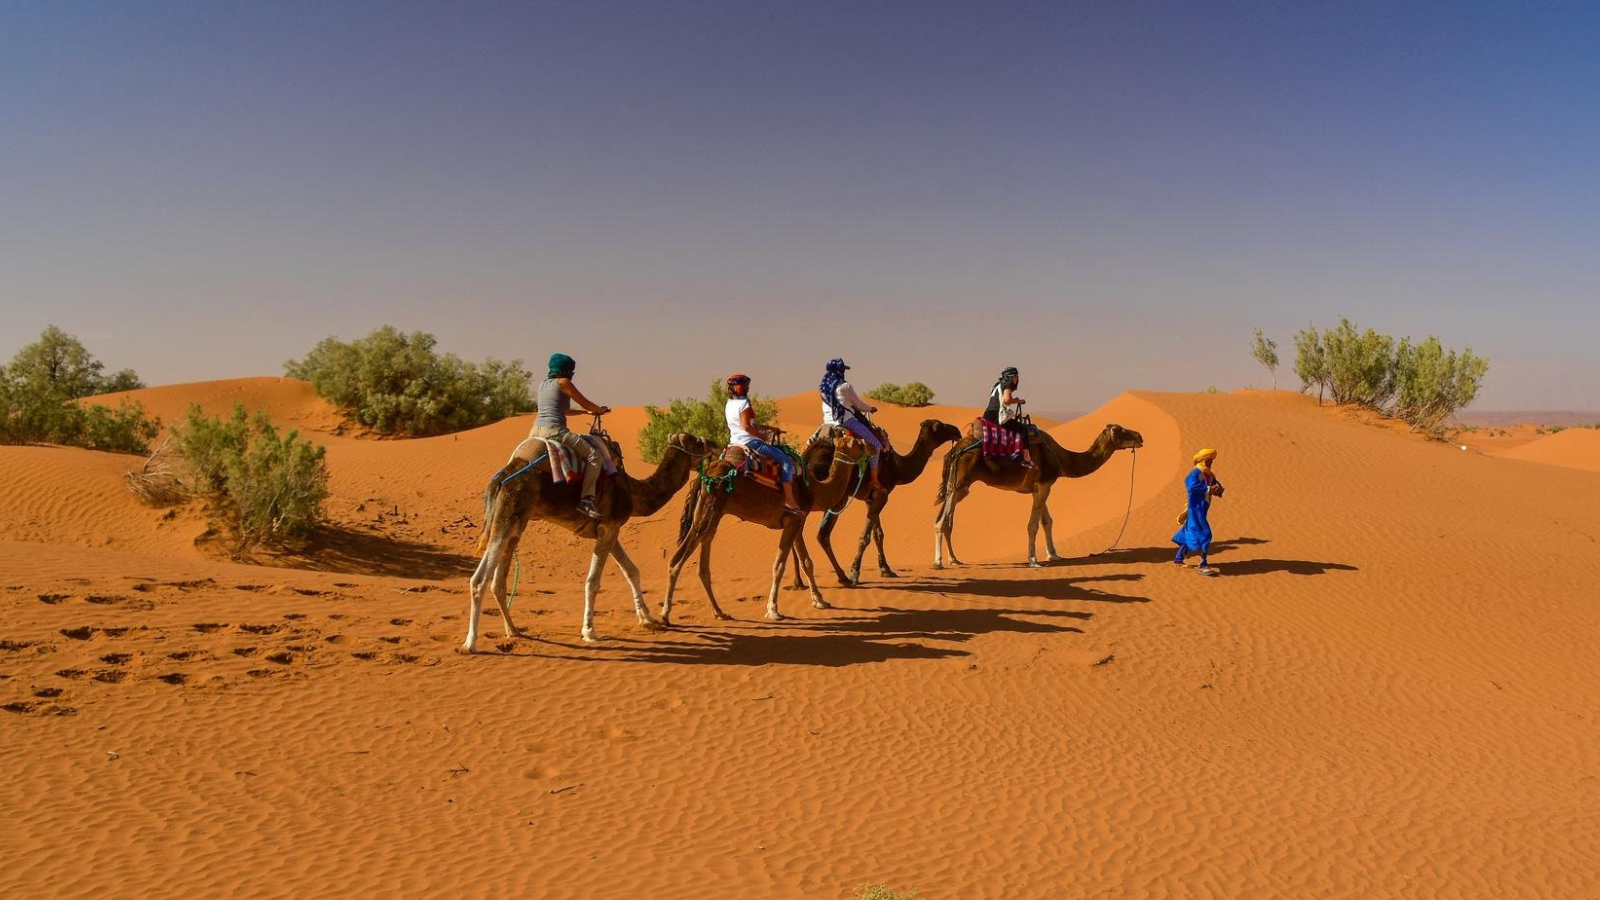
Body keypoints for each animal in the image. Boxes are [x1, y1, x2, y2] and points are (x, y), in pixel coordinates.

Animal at [463, 431, 716, 652]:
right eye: (696, 441)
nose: (714, 444)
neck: (633, 491)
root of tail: (501, 478)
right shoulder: (609, 528)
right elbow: (593, 581)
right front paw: (589, 632)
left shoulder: (609, 530)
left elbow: (632, 571)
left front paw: (647, 619)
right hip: (507, 518)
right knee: (479, 579)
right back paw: (470, 644)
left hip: (516, 524)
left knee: (498, 581)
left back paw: (513, 630)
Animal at [661, 434, 867, 625]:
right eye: (857, 443)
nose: (868, 446)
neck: (814, 489)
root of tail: (705, 474)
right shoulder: (794, 520)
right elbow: (780, 565)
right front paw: (773, 610)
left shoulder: (797, 521)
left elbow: (806, 562)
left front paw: (820, 600)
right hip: (710, 510)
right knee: (680, 560)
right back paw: (664, 616)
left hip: (708, 513)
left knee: (692, 560)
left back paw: (719, 612)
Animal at [794, 418, 963, 586]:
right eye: (939, 425)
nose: (957, 431)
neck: (897, 468)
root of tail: (808, 457)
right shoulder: (882, 496)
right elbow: (865, 537)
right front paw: (855, 573)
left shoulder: (872, 498)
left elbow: (878, 534)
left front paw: (886, 569)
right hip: (836, 495)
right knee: (822, 534)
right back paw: (843, 577)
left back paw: (799, 582)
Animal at [934, 422, 1144, 568]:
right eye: (1119, 429)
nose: (1140, 436)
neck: (1061, 458)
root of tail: (953, 451)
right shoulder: (1044, 485)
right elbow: (1033, 525)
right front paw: (1034, 561)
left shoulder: (1040, 487)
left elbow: (1047, 521)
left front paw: (1054, 555)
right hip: (960, 484)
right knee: (942, 521)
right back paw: (939, 562)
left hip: (957, 486)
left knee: (947, 520)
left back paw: (954, 559)